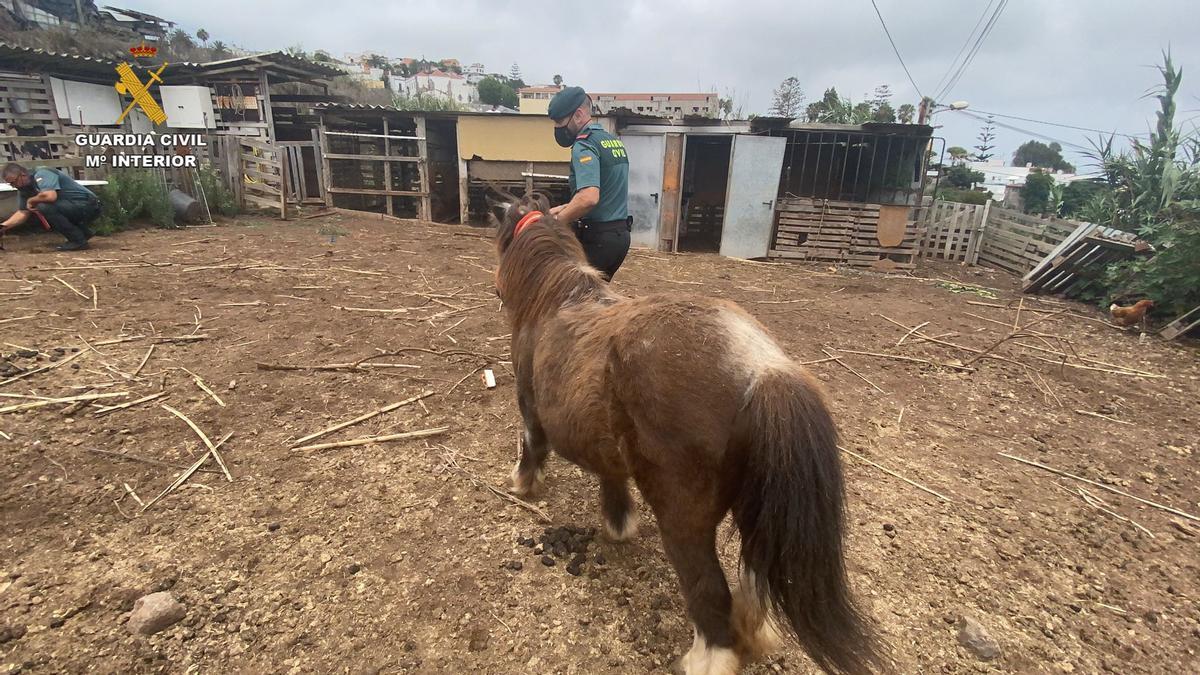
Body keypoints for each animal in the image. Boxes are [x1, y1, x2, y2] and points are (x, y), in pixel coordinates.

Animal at [492, 192, 888, 667]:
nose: (495, 291)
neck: (554, 301)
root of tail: (761, 368)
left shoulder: (529, 408)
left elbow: (531, 447)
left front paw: (522, 484)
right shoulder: (606, 446)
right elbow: (611, 479)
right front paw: (618, 524)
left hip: (686, 523)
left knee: (709, 595)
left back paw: (707, 658)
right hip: (754, 513)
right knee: (754, 577)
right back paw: (755, 632)